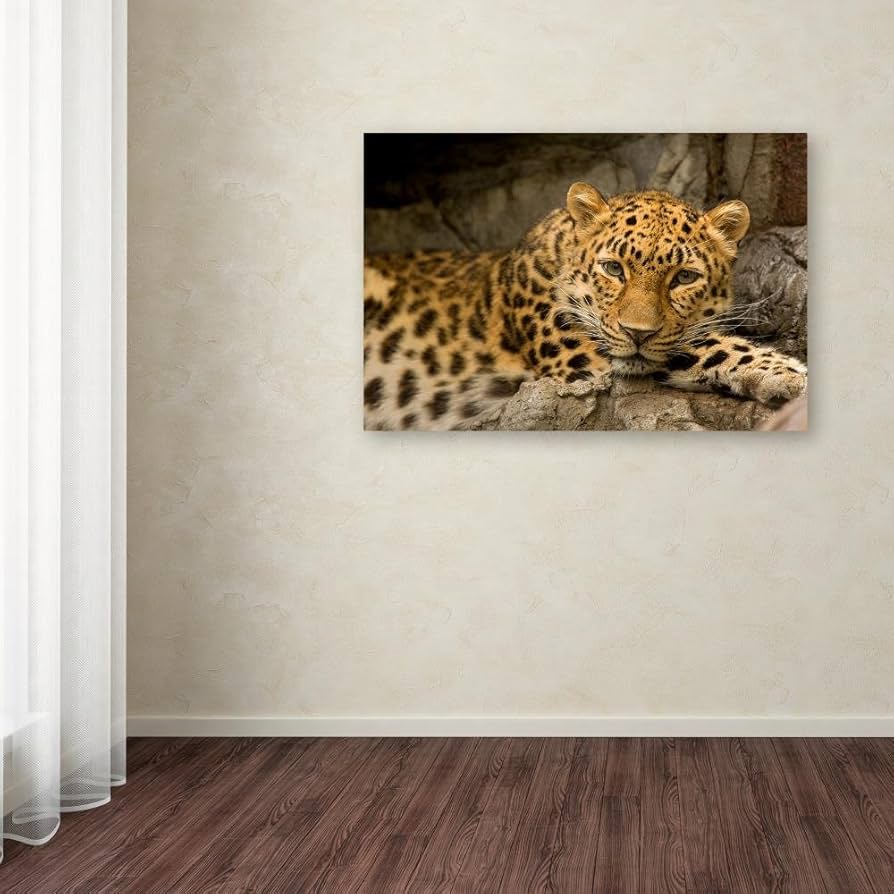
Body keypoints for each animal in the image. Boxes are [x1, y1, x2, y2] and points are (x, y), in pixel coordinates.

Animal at [363, 182, 807, 430]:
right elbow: (706, 345)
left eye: (684, 277)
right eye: (613, 268)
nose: (638, 333)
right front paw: (790, 374)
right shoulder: (583, 355)